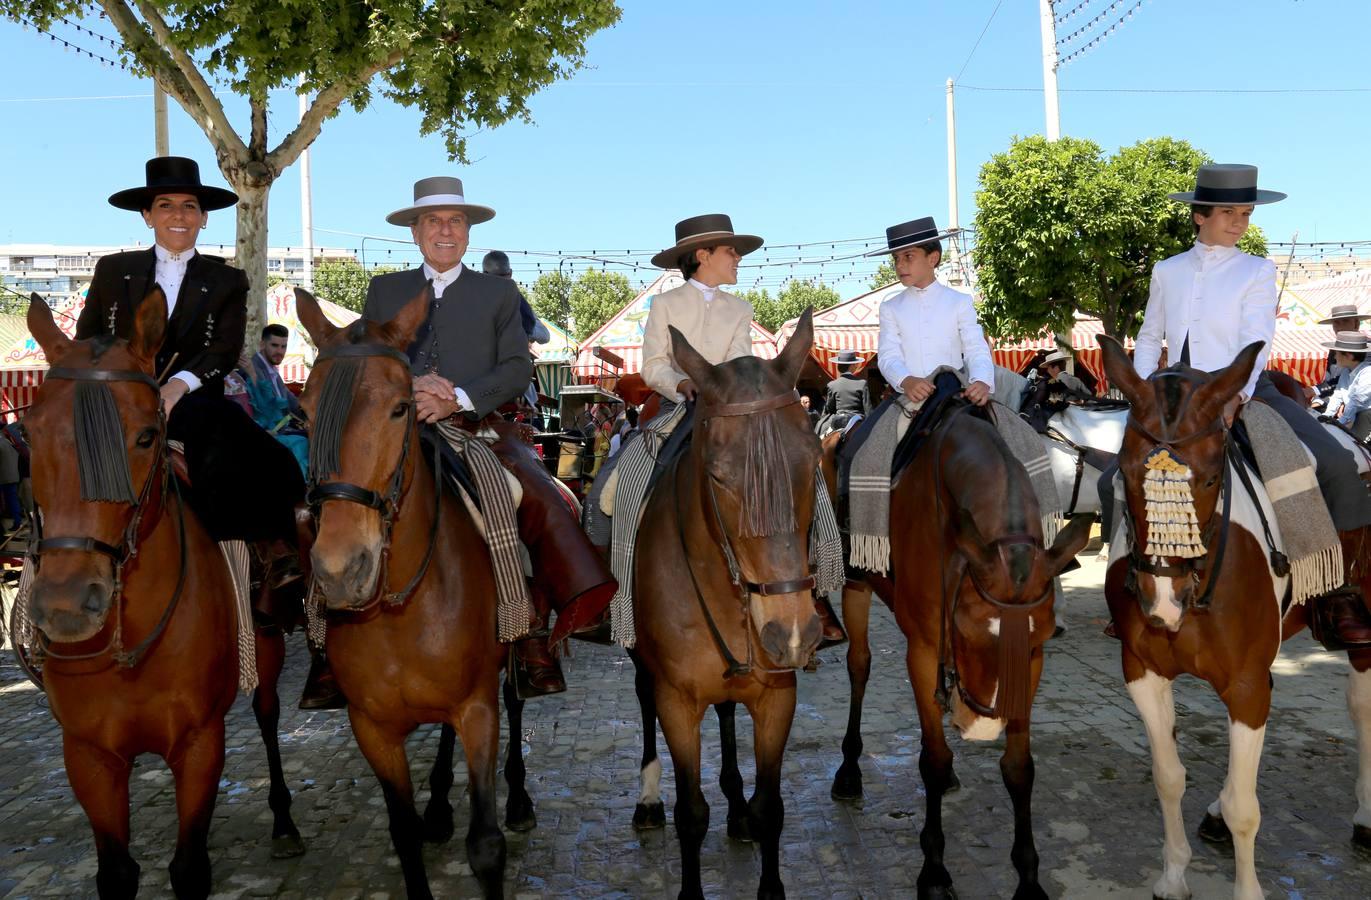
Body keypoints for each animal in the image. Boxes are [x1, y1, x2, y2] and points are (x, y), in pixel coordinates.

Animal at [17, 292, 300, 894]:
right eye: (28, 432)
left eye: (147, 435)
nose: (67, 605)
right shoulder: (89, 757)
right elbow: (117, 873)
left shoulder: (199, 743)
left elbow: (189, 868)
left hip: (265, 643)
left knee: (267, 714)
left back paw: (284, 821)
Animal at [296, 289, 518, 900]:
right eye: (303, 415)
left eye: (401, 408)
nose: (340, 570)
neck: (399, 612)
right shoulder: (371, 728)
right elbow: (404, 836)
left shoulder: (478, 710)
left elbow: (486, 845)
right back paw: (439, 801)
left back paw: (520, 799)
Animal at [633, 310, 822, 900]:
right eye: (717, 475)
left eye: (812, 460)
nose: (792, 633)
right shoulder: (676, 702)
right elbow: (691, 813)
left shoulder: (777, 696)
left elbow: (771, 808)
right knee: (642, 698)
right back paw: (647, 796)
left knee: (726, 713)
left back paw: (735, 804)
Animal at [817, 403, 1096, 900]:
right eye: (969, 631)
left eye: (1037, 641)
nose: (984, 727)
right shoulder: (925, 649)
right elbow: (933, 757)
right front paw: (933, 870)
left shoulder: (1032, 668)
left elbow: (1019, 766)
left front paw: (1028, 877)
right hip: (856, 583)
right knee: (859, 666)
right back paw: (849, 769)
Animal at [1096, 337, 1371, 900]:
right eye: (1127, 473)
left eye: (1207, 479)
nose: (1163, 601)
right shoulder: (1143, 673)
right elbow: (1169, 776)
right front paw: (1174, 874)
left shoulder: (1244, 684)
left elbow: (1248, 810)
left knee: (1361, 705)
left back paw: (1365, 817)